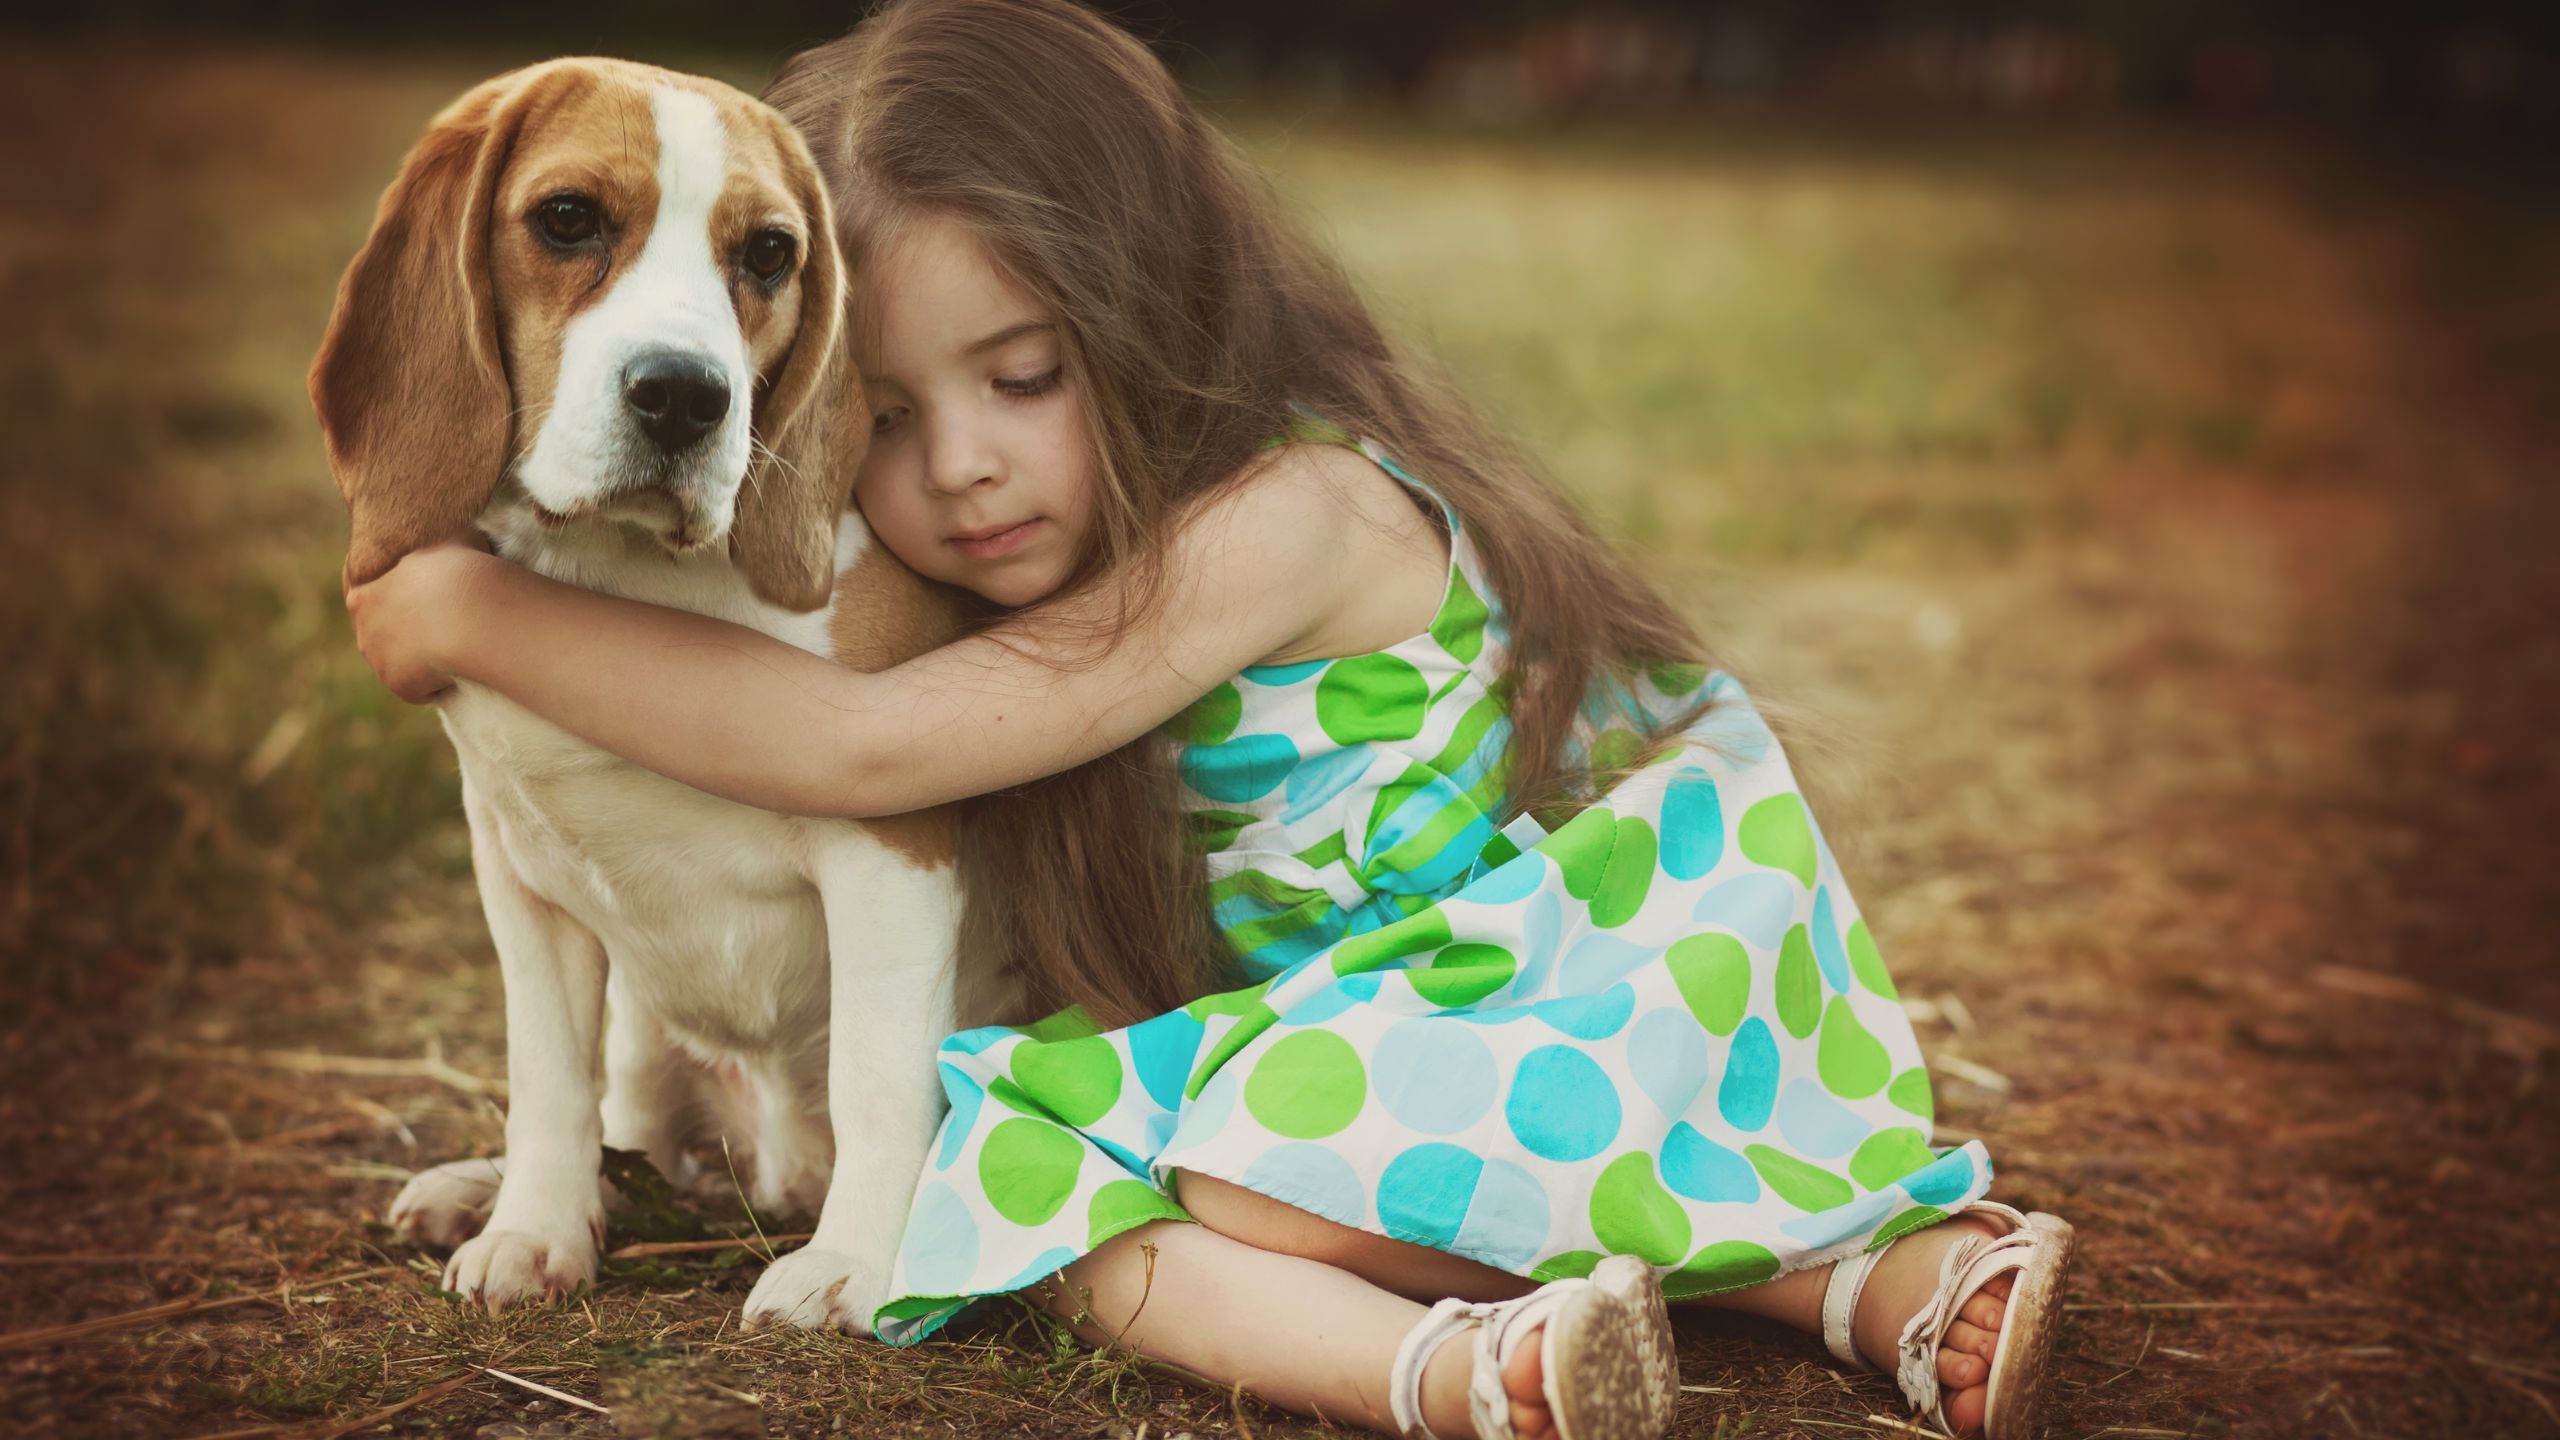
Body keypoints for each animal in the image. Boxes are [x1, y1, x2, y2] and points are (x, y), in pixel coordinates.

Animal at [307, 58, 1008, 1332]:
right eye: (567, 219)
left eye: (769, 254)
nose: (684, 396)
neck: (628, 586)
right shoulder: (516, 864)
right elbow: (546, 1073)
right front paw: (533, 1227)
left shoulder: (893, 852)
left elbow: (881, 1074)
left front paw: (858, 1267)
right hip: (639, 1021)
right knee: (619, 1115)